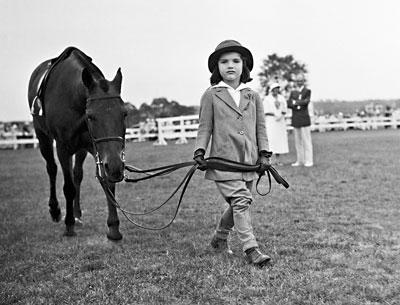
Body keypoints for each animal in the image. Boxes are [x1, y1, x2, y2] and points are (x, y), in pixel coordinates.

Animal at [28, 46, 126, 239]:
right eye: (91, 116)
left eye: (124, 113)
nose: (116, 167)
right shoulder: (63, 148)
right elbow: (68, 187)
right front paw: (68, 224)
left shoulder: (97, 148)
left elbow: (106, 182)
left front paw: (113, 227)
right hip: (42, 137)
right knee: (52, 169)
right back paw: (56, 211)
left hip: (81, 149)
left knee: (77, 175)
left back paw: (77, 213)